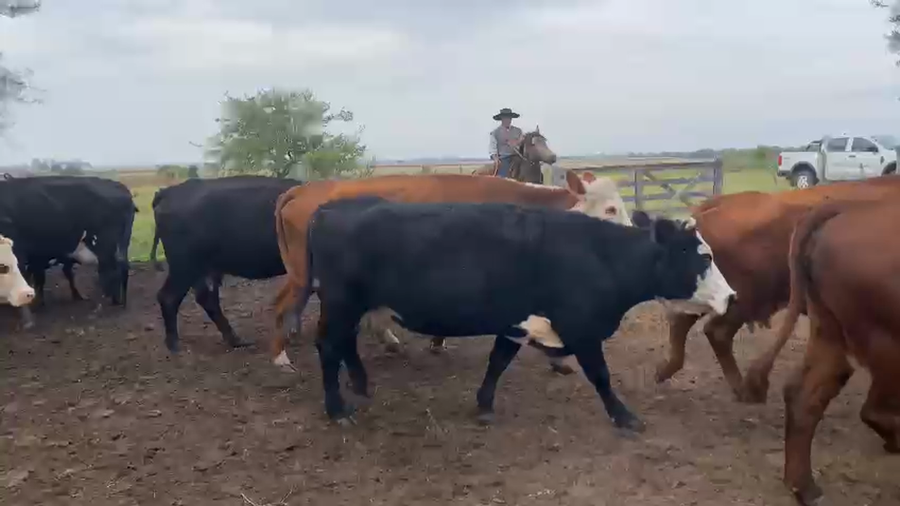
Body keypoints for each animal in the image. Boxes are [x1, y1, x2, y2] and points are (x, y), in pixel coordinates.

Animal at [0, 176, 136, 326]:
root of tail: (121, 188)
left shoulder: (22, 254)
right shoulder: (36, 257)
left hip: (105, 245)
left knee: (112, 271)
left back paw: (106, 304)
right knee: (120, 268)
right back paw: (118, 301)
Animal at [150, 176, 304, 353]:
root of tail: (169, 191)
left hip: (202, 269)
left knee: (206, 299)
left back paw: (234, 339)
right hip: (184, 267)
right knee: (168, 297)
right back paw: (173, 344)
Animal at [271, 170, 633, 373]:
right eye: (610, 209)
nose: (635, 238)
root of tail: (304, 189)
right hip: (304, 274)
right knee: (280, 306)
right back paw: (280, 358)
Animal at [301, 196, 735, 428]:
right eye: (705, 257)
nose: (731, 296)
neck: (599, 255)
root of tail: (329, 208)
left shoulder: (515, 322)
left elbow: (497, 362)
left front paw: (484, 405)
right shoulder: (581, 329)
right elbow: (600, 376)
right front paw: (624, 417)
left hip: (350, 306)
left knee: (345, 344)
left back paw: (360, 385)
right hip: (340, 303)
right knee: (328, 347)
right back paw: (337, 409)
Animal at [649, 175, 900, 402]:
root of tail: (712, 209)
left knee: (683, 321)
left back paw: (666, 370)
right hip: (744, 298)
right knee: (716, 332)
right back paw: (743, 389)